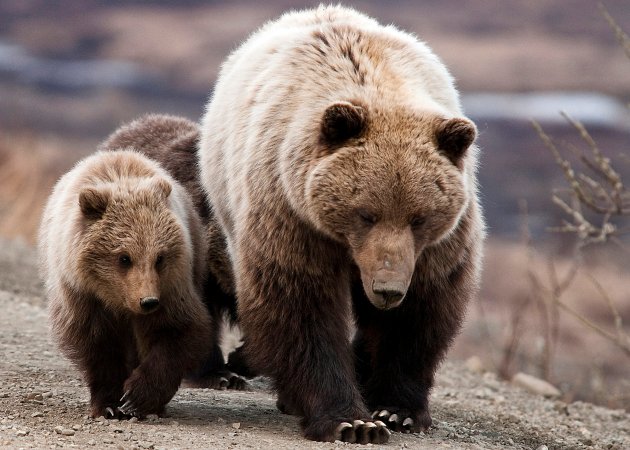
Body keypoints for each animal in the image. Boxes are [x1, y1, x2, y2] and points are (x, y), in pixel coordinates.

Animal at [39, 149, 214, 416]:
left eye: (159, 257)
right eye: (124, 257)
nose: (148, 301)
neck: (117, 299)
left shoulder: (172, 287)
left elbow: (175, 331)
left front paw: (137, 397)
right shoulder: (83, 295)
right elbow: (97, 346)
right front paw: (110, 404)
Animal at [200, 5, 486, 444]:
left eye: (419, 217)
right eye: (365, 212)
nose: (387, 289)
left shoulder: (437, 245)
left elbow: (421, 311)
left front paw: (396, 410)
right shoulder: (291, 213)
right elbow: (302, 307)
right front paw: (351, 421)